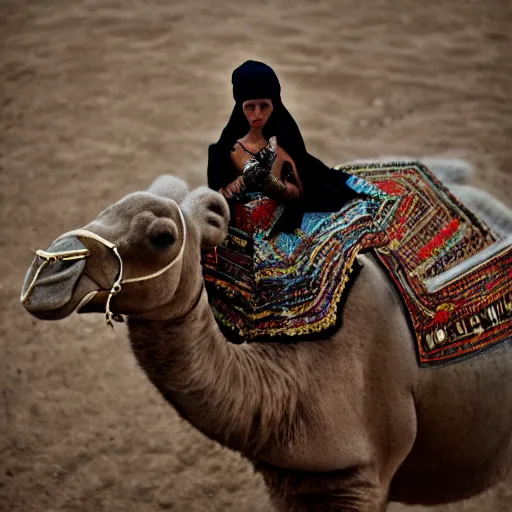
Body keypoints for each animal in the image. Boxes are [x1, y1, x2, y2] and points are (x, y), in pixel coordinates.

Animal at [20, 161, 512, 512]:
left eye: (162, 236)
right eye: (106, 208)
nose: (47, 273)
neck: (287, 385)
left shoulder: (364, 478)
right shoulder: (292, 479)